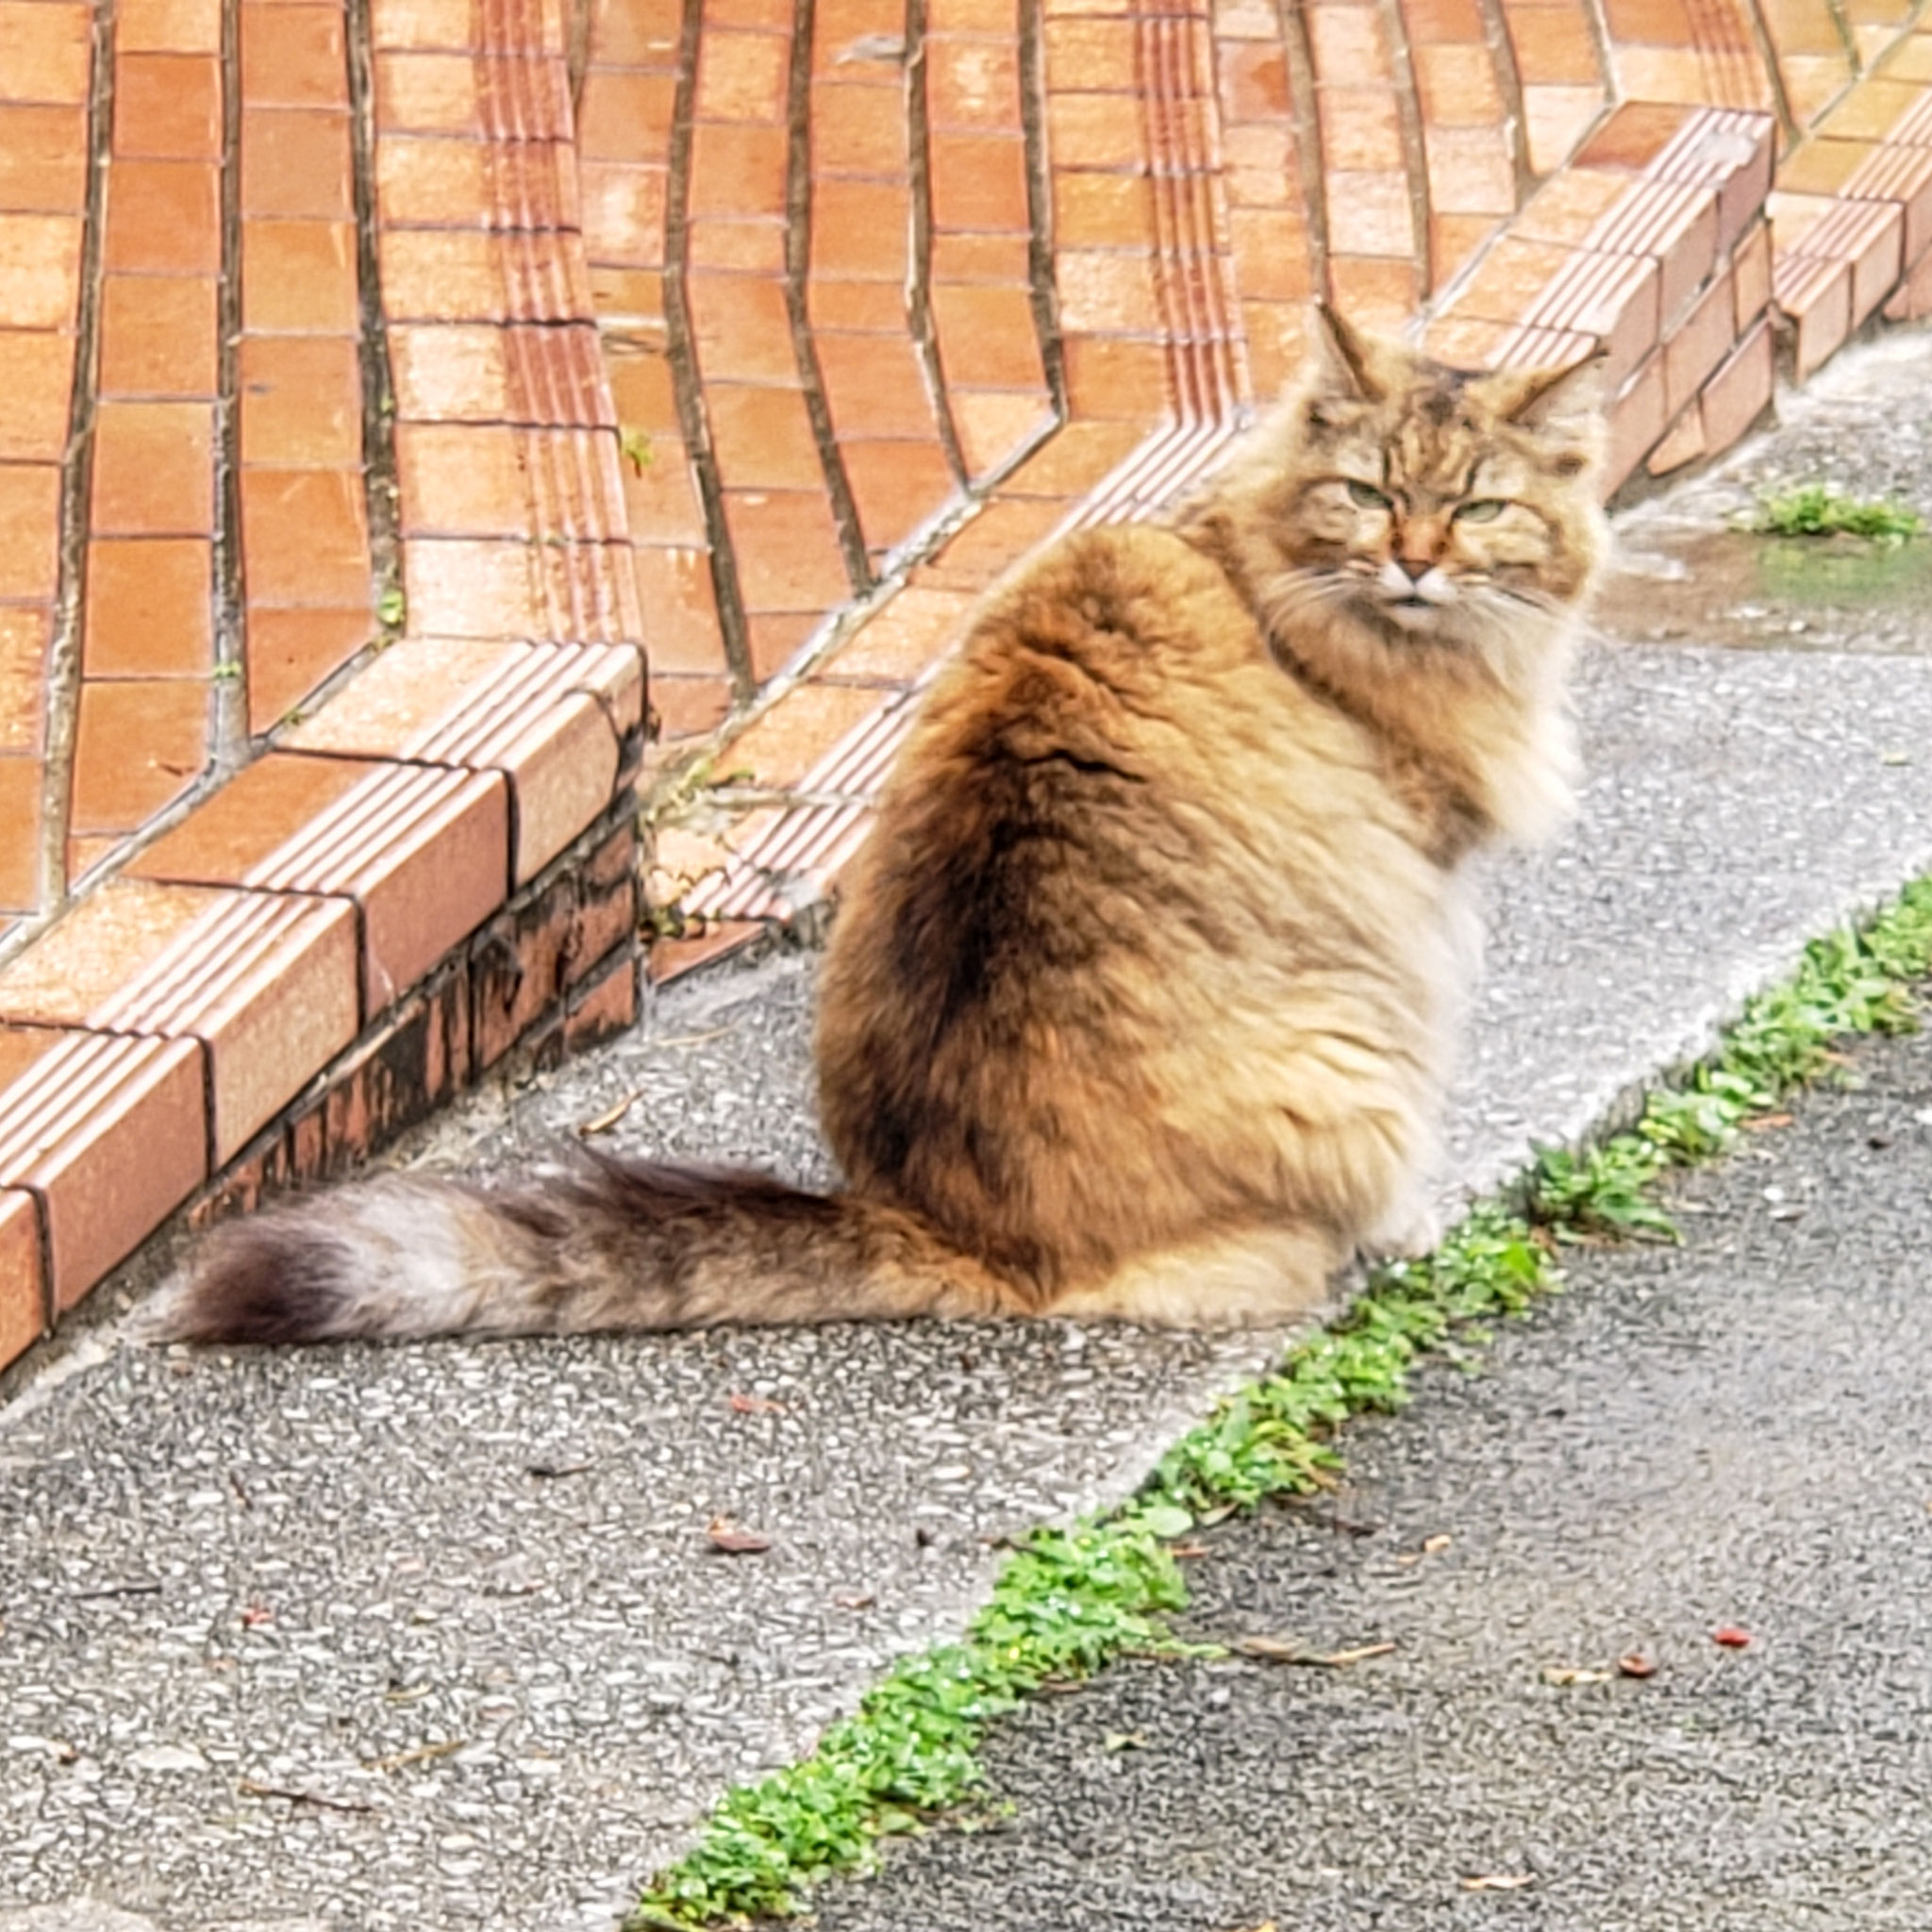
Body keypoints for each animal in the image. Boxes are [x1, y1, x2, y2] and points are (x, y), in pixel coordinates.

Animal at [150, 312, 1607, 1344]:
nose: (1415, 558)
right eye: (1367, 491)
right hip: (1352, 1058)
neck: (1263, 579)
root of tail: (946, 1223)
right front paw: (1420, 1221)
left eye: (1479, 506)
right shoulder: (1424, 887)